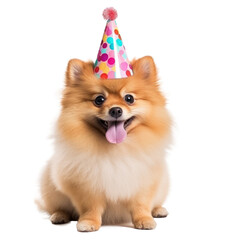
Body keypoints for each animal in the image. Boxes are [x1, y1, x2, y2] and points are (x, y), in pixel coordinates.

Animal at [38, 55, 172, 232]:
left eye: (129, 98)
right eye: (99, 99)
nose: (116, 110)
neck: (117, 149)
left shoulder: (142, 181)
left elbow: (140, 204)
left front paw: (145, 219)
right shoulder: (88, 185)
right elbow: (91, 207)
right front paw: (88, 222)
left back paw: (158, 210)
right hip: (51, 188)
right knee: (57, 207)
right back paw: (60, 215)